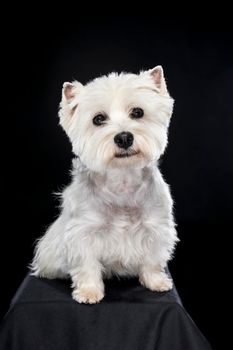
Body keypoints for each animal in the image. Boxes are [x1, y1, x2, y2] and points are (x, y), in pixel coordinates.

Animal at [30, 65, 177, 304]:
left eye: (138, 112)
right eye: (98, 119)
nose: (124, 137)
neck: (122, 180)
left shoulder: (155, 227)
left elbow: (152, 259)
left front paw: (156, 282)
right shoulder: (83, 233)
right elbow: (87, 265)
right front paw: (89, 292)